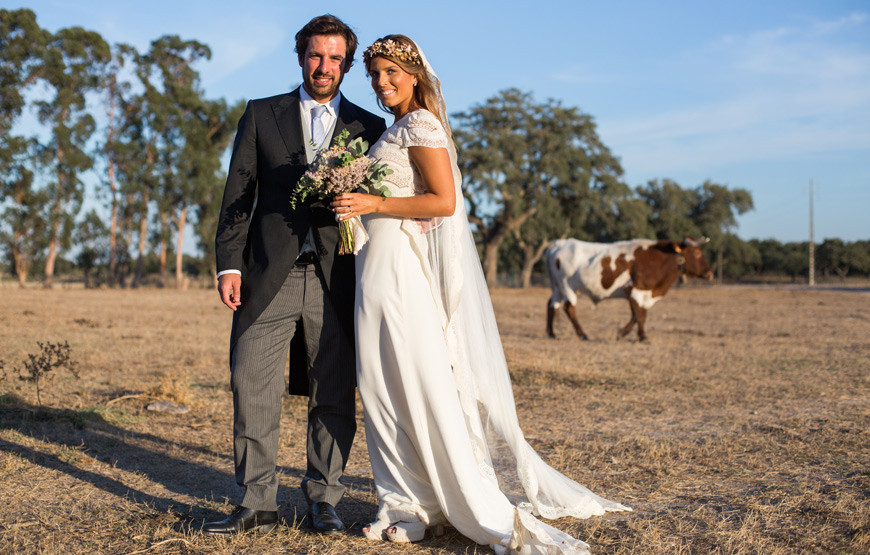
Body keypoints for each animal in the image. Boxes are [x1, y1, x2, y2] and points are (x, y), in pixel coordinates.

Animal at [544, 236, 716, 340]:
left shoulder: (646, 293)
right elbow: (637, 315)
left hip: (557, 285)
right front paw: (624, 333)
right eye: (697, 252)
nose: (709, 273)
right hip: (567, 285)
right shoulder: (634, 289)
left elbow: (642, 314)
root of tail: (558, 244)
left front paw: (640, 335)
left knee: (552, 304)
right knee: (569, 307)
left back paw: (552, 333)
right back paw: (582, 334)